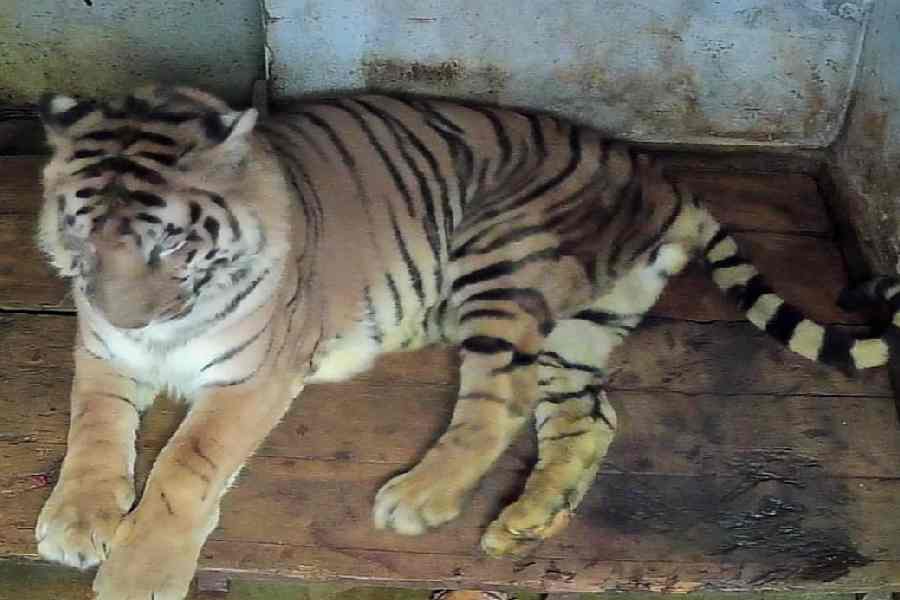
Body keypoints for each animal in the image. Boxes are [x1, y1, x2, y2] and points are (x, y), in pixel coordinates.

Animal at [33, 84, 898, 600]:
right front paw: (77, 522)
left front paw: (137, 574)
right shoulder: (103, 352)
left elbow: (185, 466)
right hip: (579, 329)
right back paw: (526, 521)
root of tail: (658, 173)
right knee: (590, 417)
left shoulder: (253, 376)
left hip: (499, 258)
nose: (130, 317)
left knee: (500, 403)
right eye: (82, 231)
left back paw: (419, 499)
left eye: (172, 244)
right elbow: (93, 428)